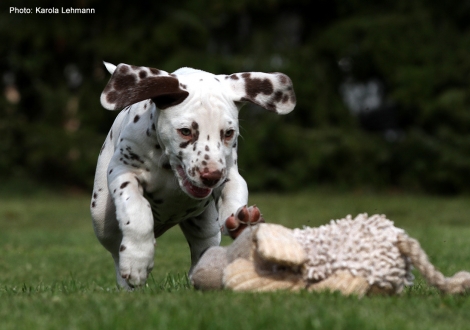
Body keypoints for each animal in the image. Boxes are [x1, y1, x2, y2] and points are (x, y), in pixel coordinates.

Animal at [90, 62, 296, 288]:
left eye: (228, 133)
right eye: (185, 131)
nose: (211, 176)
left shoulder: (229, 174)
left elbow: (233, 193)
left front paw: (242, 222)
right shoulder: (122, 171)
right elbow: (136, 211)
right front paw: (138, 259)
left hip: (205, 227)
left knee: (202, 248)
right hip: (101, 217)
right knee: (115, 250)